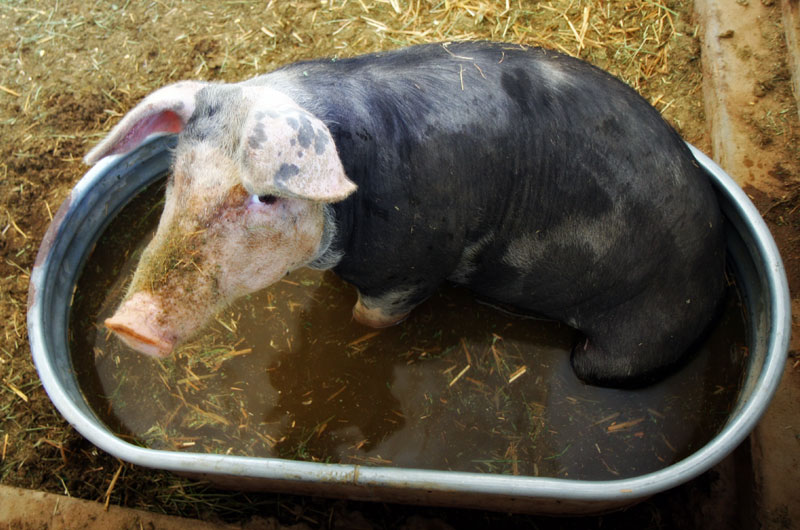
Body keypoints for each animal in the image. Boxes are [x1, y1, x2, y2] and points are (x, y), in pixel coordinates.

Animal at [86, 41, 724, 386]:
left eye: (265, 196)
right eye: (177, 175)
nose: (127, 325)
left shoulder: (411, 270)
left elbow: (369, 321)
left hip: (624, 346)